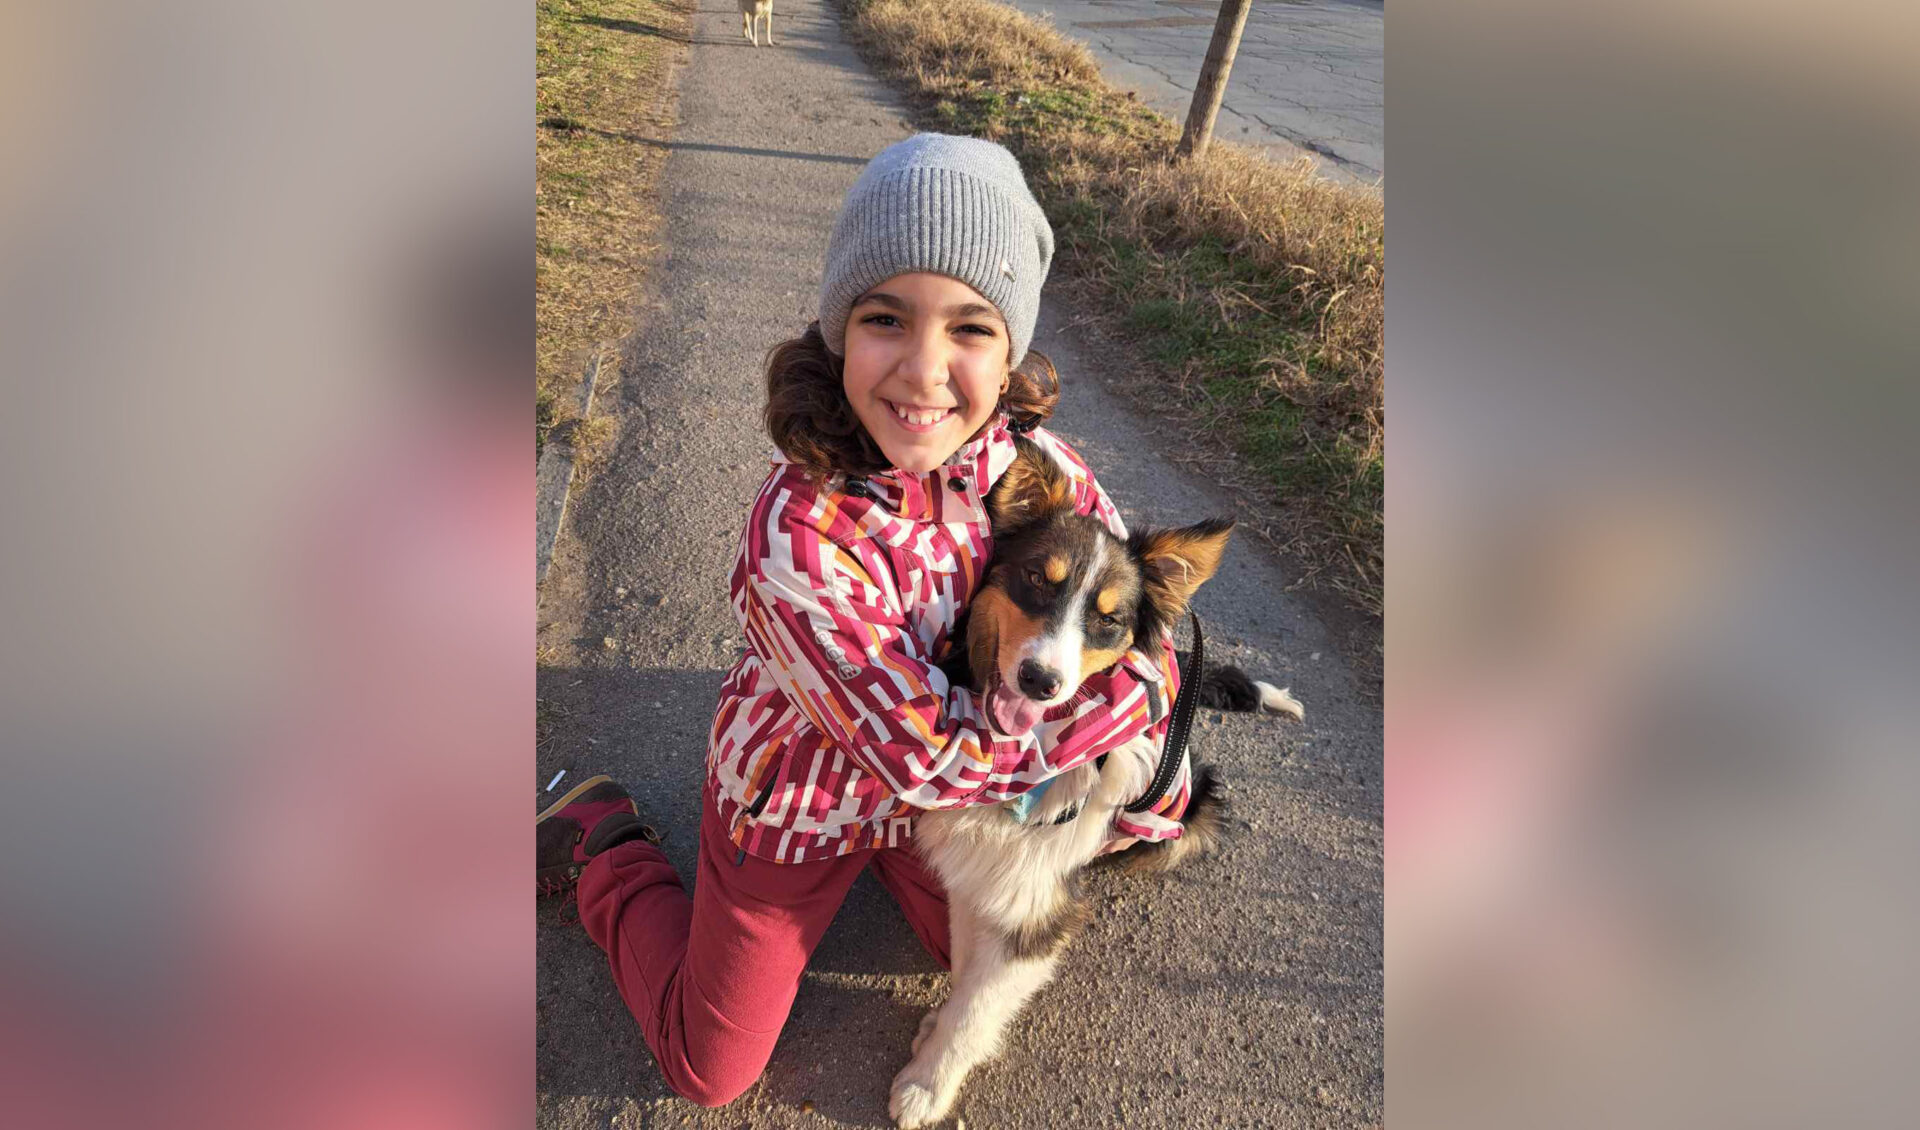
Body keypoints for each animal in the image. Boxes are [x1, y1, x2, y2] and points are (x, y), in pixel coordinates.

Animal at [889, 436, 1304, 1128]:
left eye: (1108, 621)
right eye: (1036, 579)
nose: (1039, 681)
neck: (1030, 757)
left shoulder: (1038, 896)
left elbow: (979, 1005)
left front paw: (928, 1084)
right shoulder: (985, 865)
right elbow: (968, 961)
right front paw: (934, 1035)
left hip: (1190, 820)